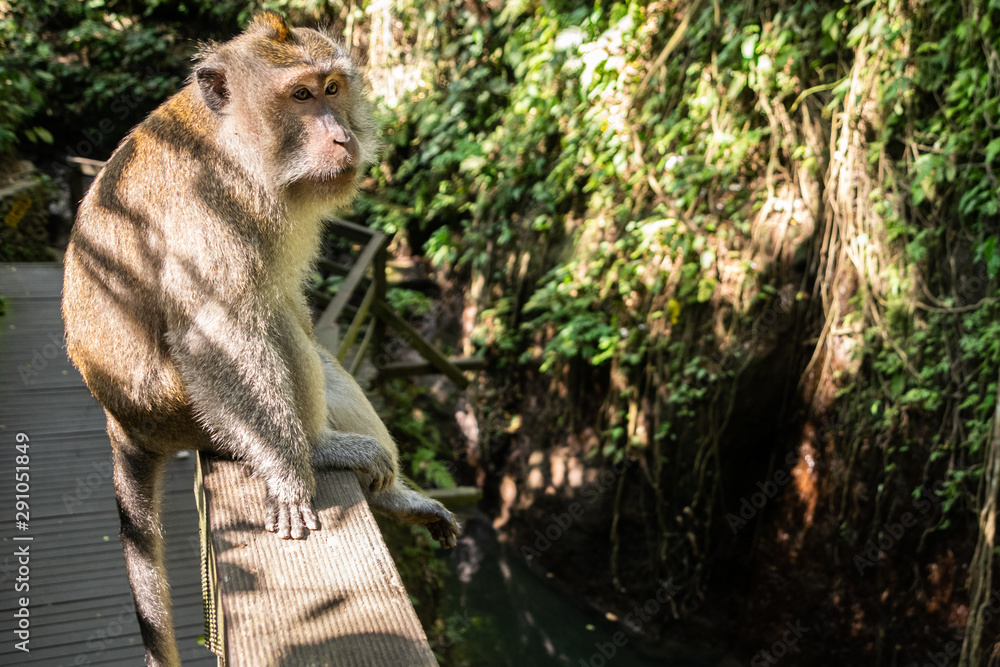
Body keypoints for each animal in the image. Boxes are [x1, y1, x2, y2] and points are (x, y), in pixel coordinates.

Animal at [61, 12, 460, 667]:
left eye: (332, 89)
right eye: (299, 96)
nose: (341, 138)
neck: (237, 146)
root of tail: (120, 415)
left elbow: (291, 304)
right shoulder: (210, 204)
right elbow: (217, 331)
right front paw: (289, 473)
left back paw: (389, 494)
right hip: (183, 410)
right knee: (261, 327)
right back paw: (317, 451)